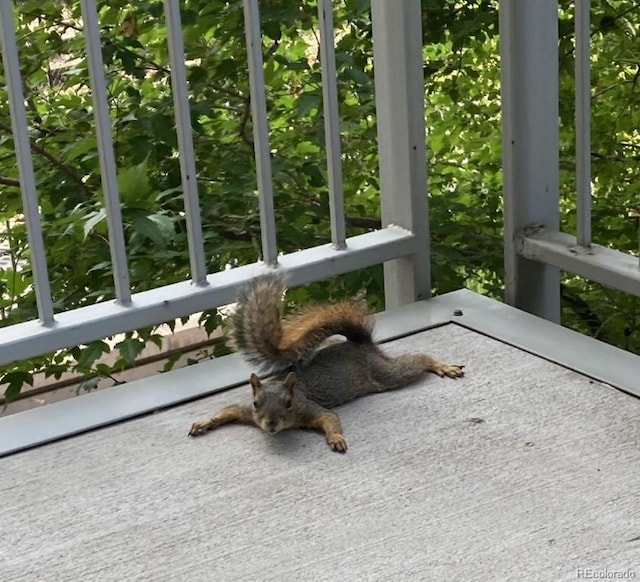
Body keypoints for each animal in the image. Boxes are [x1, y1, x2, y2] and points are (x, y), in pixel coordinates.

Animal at [188, 272, 462, 454]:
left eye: (289, 403)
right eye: (256, 403)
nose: (271, 425)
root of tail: (359, 343)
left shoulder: (309, 408)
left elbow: (330, 418)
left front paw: (336, 437)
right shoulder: (247, 411)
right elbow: (228, 410)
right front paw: (205, 423)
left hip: (384, 373)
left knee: (415, 362)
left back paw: (440, 365)